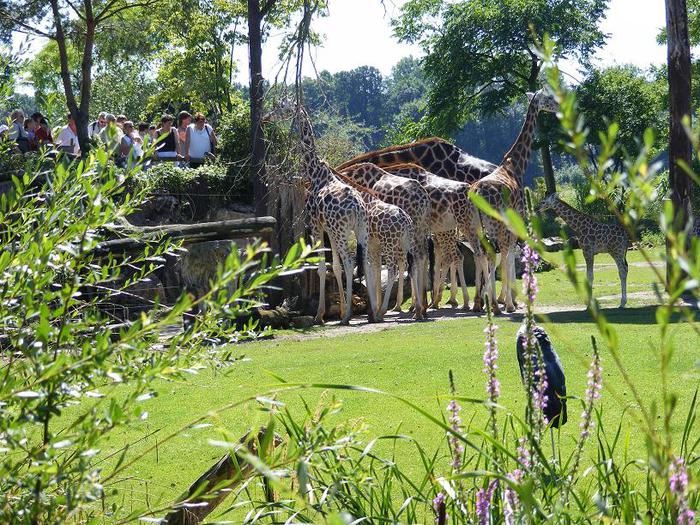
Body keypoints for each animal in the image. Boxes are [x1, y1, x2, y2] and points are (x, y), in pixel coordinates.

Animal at [270, 101, 378, 324]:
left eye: (280, 107)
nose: (267, 117)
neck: (314, 173)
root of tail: (357, 207)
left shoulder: (316, 225)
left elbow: (321, 266)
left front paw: (319, 314)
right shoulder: (329, 228)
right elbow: (334, 266)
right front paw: (339, 309)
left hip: (342, 230)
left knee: (349, 262)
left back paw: (348, 317)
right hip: (360, 229)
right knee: (365, 262)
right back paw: (373, 313)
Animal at [336, 162, 430, 316]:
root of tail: (425, 199)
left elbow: (376, 268)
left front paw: (377, 307)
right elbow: (380, 267)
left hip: (412, 230)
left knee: (415, 259)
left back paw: (416, 307)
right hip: (421, 229)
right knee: (421, 257)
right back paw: (421, 307)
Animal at [468, 89, 560, 316]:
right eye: (548, 98)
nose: (558, 105)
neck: (516, 165)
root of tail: (477, 192)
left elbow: (507, 256)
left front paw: (506, 299)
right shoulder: (517, 218)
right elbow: (509, 256)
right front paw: (511, 302)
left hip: (475, 226)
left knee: (481, 254)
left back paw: (482, 303)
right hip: (495, 224)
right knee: (494, 254)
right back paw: (495, 305)